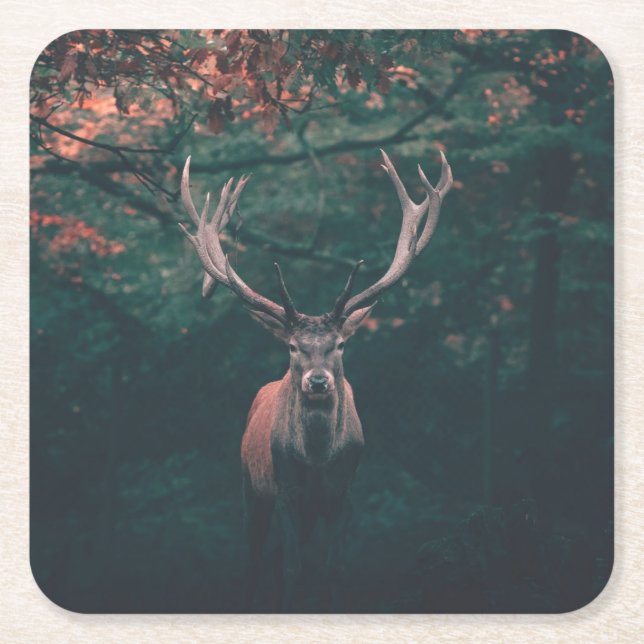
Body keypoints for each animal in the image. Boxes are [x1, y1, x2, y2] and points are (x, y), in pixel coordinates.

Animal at [178, 149, 453, 610]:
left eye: (339, 344)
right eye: (292, 346)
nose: (319, 382)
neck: (319, 461)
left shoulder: (344, 495)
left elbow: (334, 570)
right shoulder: (286, 492)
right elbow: (292, 571)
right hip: (250, 488)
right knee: (256, 560)